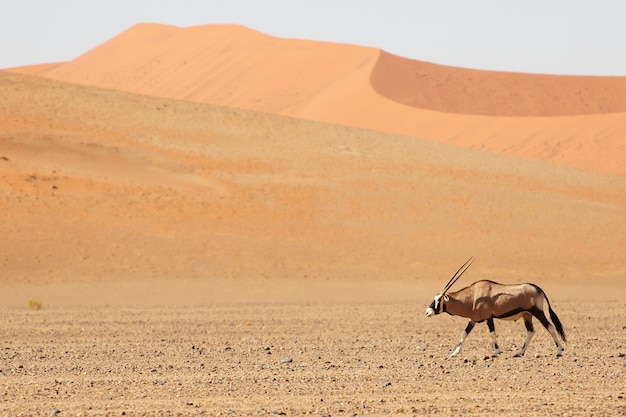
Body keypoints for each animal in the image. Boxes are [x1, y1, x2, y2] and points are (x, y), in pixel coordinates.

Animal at [424, 256, 564, 358]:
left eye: (439, 300)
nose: (427, 312)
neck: (473, 296)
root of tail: (538, 288)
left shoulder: (488, 317)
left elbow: (492, 333)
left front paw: (496, 352)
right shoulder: (473, 319)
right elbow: (464, 333)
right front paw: (454, 353)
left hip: (537, 312)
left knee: (550, 327)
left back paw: (559, 351)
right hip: (526, 315)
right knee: (531, 331)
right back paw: (520, 353)